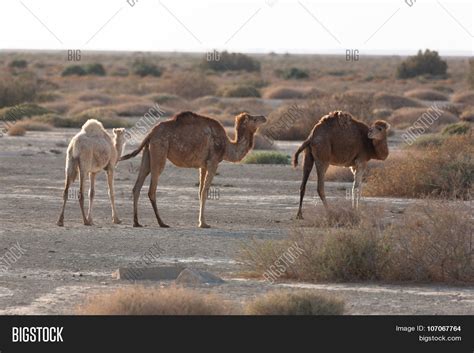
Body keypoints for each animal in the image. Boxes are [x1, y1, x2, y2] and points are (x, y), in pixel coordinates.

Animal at [120, 112, 266, 228]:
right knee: (152, 190)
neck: (227, 147)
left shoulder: (203, 165)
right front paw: (203, 223)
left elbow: (200, 192)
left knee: (137, 186)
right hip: (159, 151)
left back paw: (136, 222)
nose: (264, 117)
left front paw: (201, 221)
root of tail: (150, 133)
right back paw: (162, 223)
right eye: (254, 119)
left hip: (147, 153)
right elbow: (205, 192)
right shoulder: (213, 162)